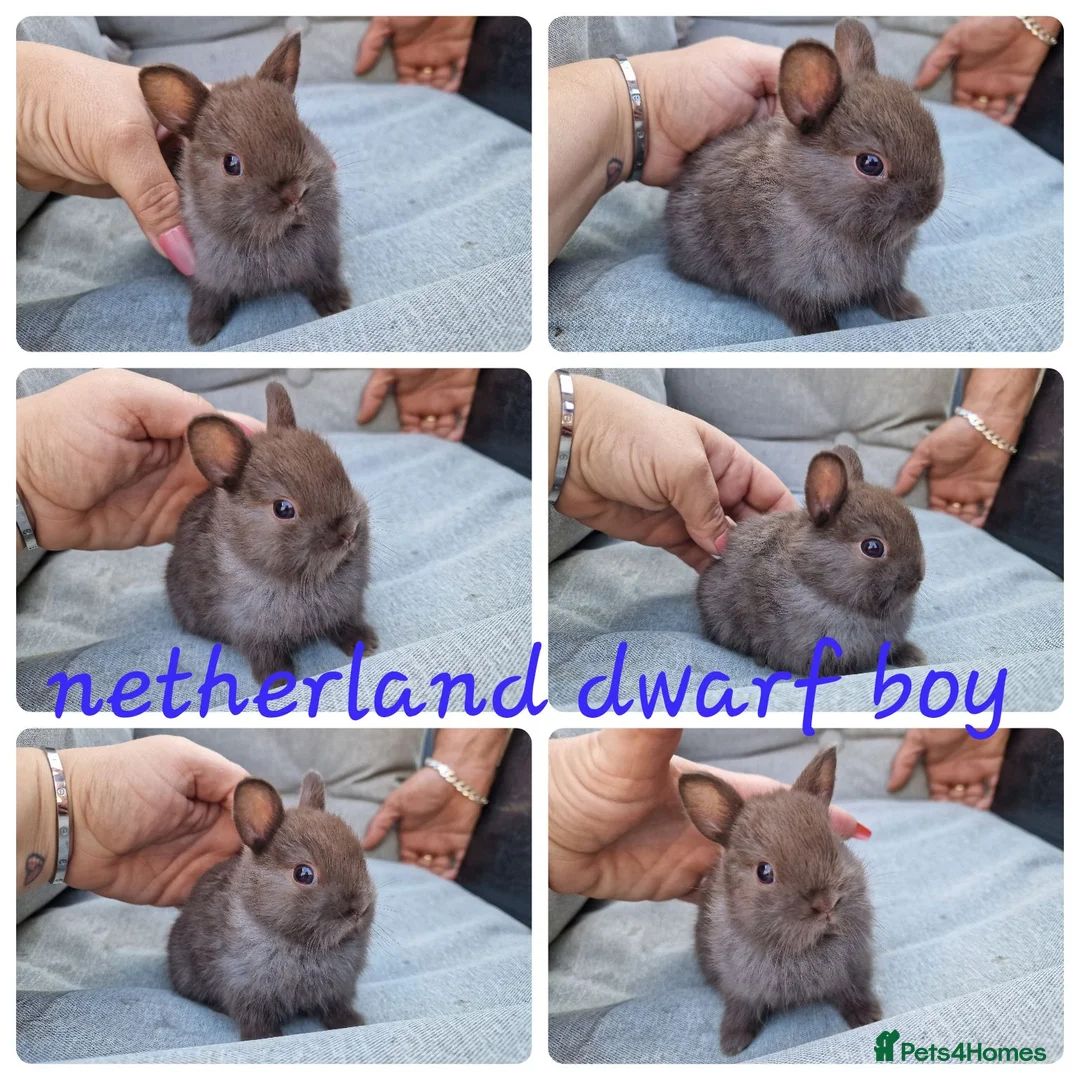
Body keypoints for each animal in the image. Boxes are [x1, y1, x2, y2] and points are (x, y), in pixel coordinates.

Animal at [139, 32, 350, 346]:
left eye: (303, 134)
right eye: (231, 164)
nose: (295, 194)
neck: (272, 240)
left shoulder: (323, 256)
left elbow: (324, 278)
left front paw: (338, 304)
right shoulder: (205, 275)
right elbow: (208, 299)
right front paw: (200, 333)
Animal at [166, 380, 378, 686]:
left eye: (343, 474)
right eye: (283, 509)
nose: (349, 532)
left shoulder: (348, 607)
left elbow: (347, 623)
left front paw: (366, 644)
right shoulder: (251, 631)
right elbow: (266, 655)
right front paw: (278, 682)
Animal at [168, 770, 375, 1040]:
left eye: (362, 860)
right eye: (304, 874)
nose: (359, 909)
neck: (300, 942)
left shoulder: (338, 989)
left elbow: (336, 1007)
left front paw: (352, 1022)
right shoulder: (246, 988)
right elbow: (255, 1017)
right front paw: (264, 1036)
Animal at [665, 19, 944, 336]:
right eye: (870, 164)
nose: (929, 205)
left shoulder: (886, 277)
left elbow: (888, 293)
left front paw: (911, 310)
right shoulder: (789, 283)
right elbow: (803, 309)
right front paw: (823, 330)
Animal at [679, 745, 881, 1056]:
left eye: (836, 847)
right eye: (764, 872)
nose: (826, 903)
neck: (805, 949)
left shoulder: (852, 971)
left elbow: (853, 991)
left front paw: (868, 1016)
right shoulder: (740, 987)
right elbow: (741, 1009)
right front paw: (732, 1044)